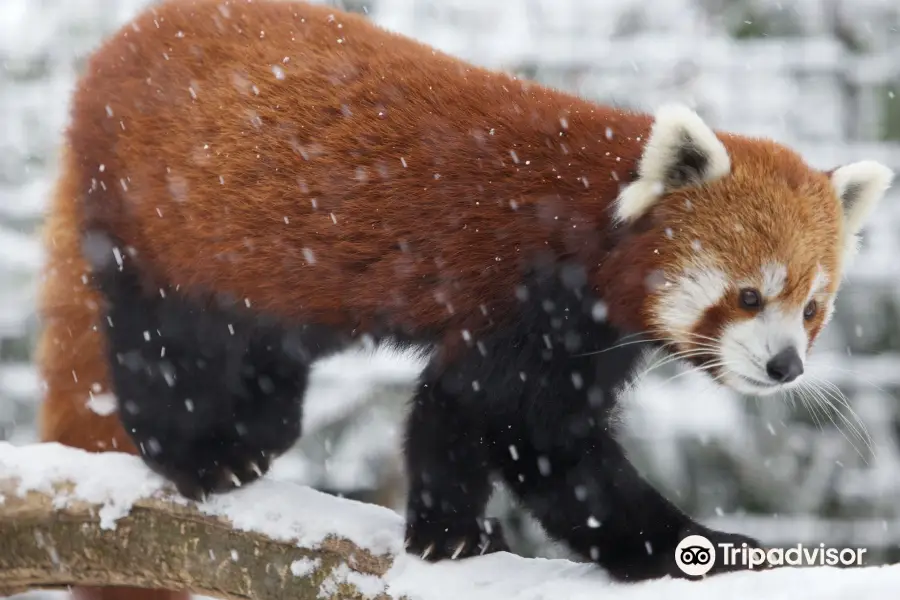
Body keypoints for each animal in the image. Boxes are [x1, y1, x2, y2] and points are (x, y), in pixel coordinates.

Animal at [37, 0, 892, 584]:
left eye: (811, 309)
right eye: (749, 296)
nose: (786, 366)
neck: (592, 228)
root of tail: (115, 46)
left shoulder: (579, 334)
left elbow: (513, 436)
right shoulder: (523, 297)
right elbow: (506, 424)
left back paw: (260, 427)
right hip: (159, 220)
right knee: (161, 342)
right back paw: (197, 456)